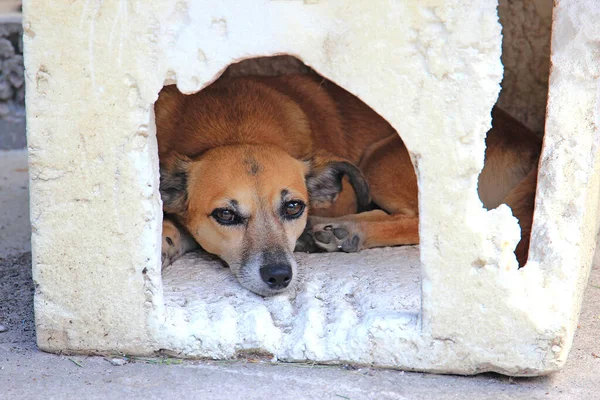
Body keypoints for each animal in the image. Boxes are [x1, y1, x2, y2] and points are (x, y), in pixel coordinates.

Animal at [155, 73, 540, 296]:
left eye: (293, 207)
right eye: (225, 215)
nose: (279, 276)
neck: (235, 124)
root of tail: (531, 143)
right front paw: (165, 238)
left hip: (381, 161)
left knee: (424, 223)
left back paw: (349, 231)